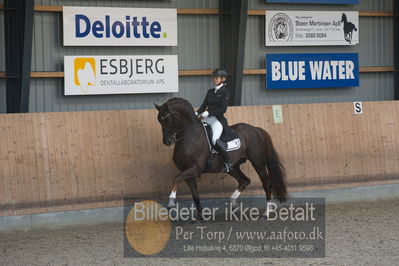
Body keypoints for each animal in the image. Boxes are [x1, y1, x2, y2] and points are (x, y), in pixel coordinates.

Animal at [154, 97, 288, 220]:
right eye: (159, 120)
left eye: (167, 118)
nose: (167, 141)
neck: (190, 136)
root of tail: (256, 129)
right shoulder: (187, 173)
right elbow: (194, 193)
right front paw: (199, 217)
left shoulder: (195, 169)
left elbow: (176, 178)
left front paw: (171, 202)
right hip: (233, 167)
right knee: (244, 181)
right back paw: (233, 204)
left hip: (257, 163)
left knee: (266, 182)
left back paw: (266, 212)